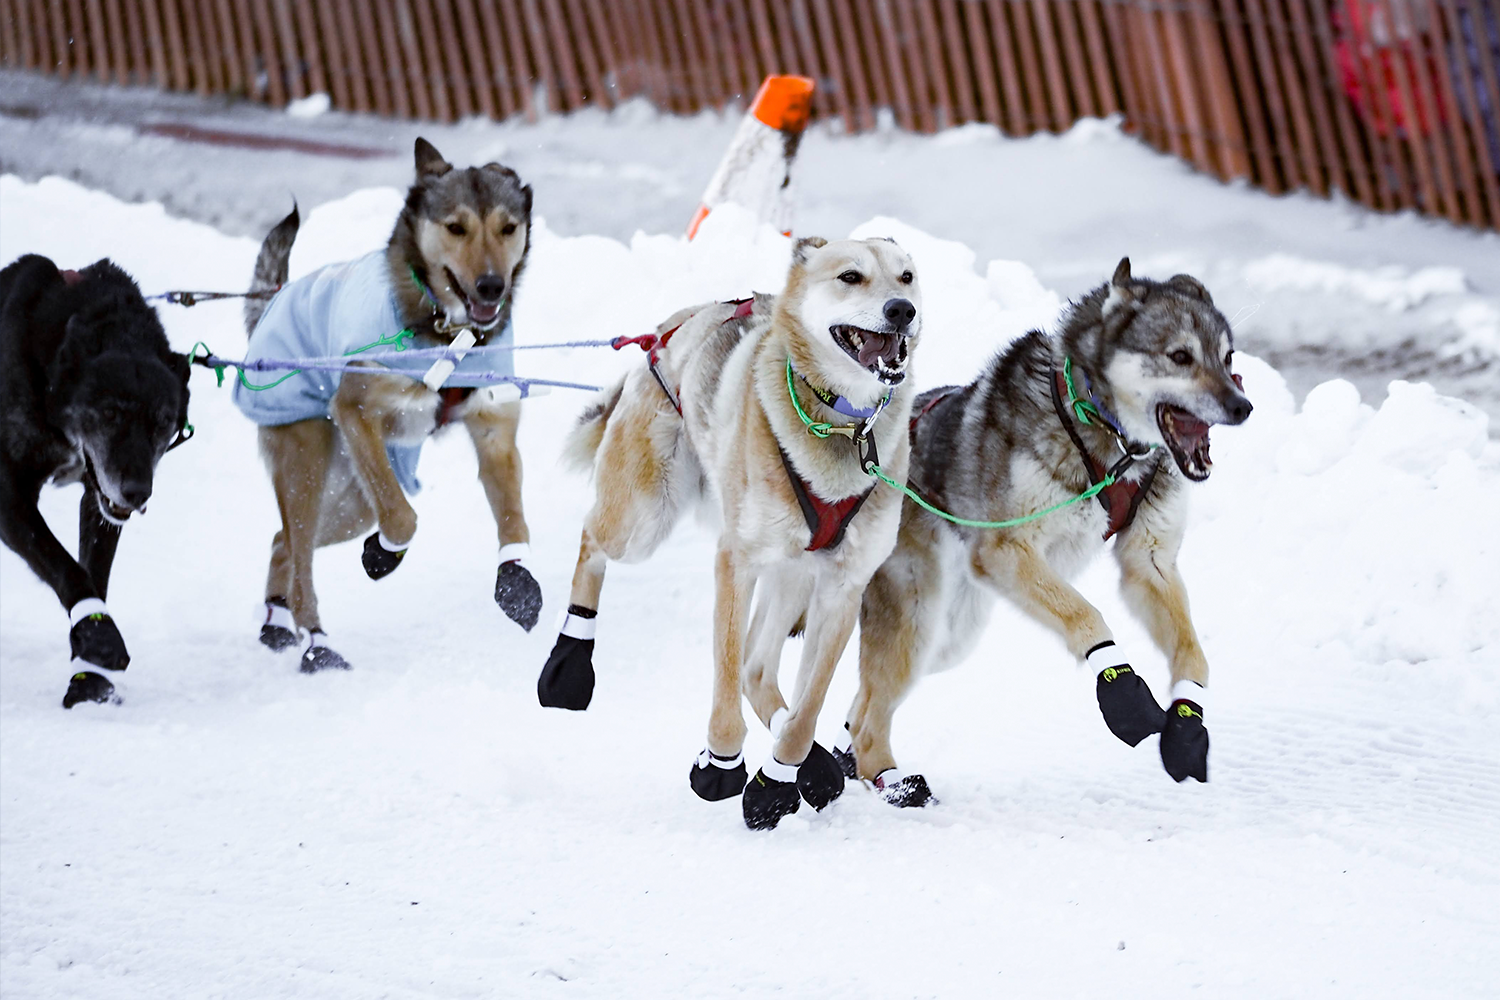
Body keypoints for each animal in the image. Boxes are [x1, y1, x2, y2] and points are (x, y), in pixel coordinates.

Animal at [0, 254, 190, 707]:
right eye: (109, 413)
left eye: (163, 422)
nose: (137, 492)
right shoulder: (8, 491)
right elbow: (63, 564)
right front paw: (101, 637)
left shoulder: (98, 499)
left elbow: (94, 573)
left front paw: (89, 676)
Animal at [540, 235, 924, 827]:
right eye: (851, 276)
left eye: (907, 277)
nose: (901, 310)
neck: (842, 426)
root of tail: (671, 327)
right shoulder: (736, 561)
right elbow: (724, 675)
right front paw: (722, 765)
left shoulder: (843, 586)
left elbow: (807, 707)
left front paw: (780, 776)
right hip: (642, 520)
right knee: (592, 541)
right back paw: (568, 661)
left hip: (792, 574)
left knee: (758, 669)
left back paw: (811, 765)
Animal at [840, 260, 1248, 803]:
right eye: (1180, 357)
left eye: (1228, 358)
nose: (1243, 406)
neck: (1111, 441)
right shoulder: (1006, 552)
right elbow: (1087, 615)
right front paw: (1122, 692)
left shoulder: (1149, 562)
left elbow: (1194, 656)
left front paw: (1186, 725)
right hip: (917, 621)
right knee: (867, 720)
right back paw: (892, 787)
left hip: (948, 638)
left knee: (859, 707)